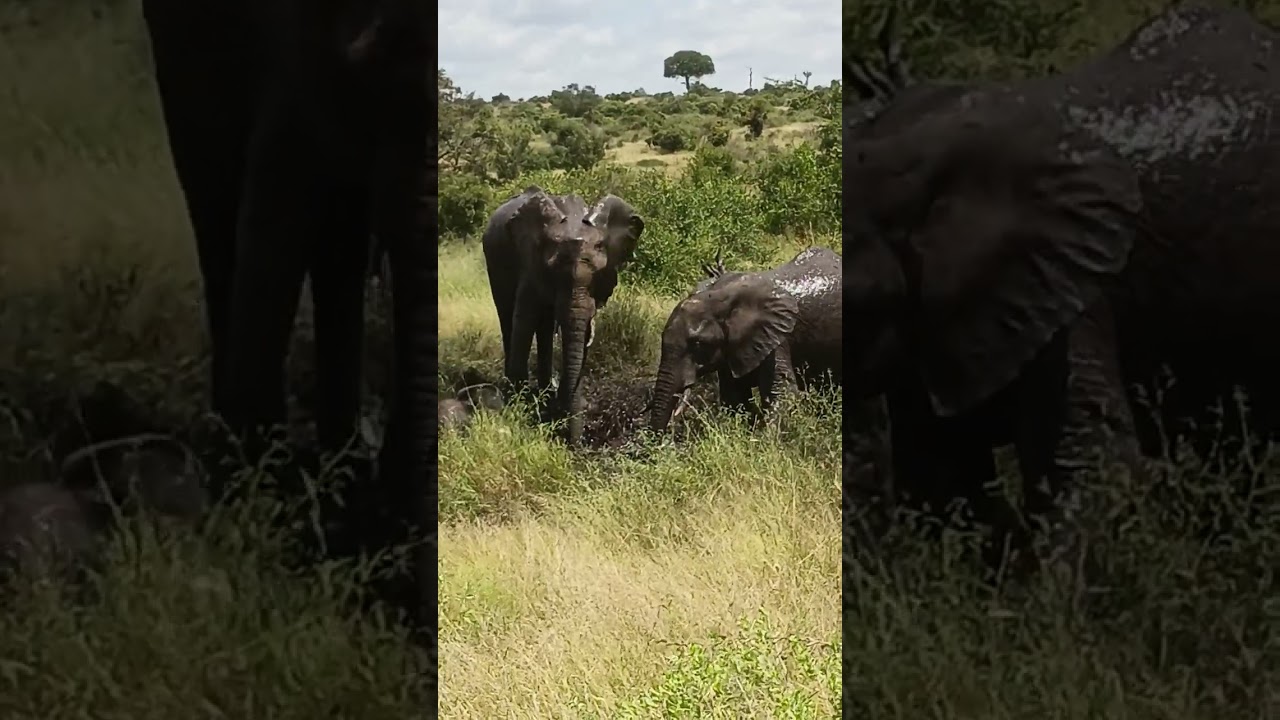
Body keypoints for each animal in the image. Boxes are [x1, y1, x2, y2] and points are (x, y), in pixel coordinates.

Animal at [482, 187, 645, 446]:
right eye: (554, 275)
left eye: (596, 279)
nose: (575, 445)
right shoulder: (531, 264)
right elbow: (523, 321)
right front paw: (519, 404)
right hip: (494, 261)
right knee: (507, 316)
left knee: (545, 326)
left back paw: (545, 390)